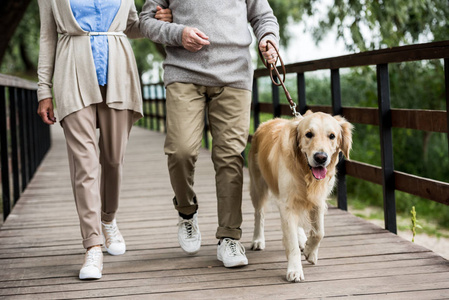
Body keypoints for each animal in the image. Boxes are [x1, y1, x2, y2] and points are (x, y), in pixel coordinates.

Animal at [247, 111, 352, 282]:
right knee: (259, 214)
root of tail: (266, 123)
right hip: (258, 185)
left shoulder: (318, 200)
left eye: (332, 136)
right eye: (309, 134)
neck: (305, 172)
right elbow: (292, 243)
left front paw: (310, 251)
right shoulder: (287, 205)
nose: (321, 157)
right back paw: (258, 240)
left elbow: (319, 232)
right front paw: (295, 270)